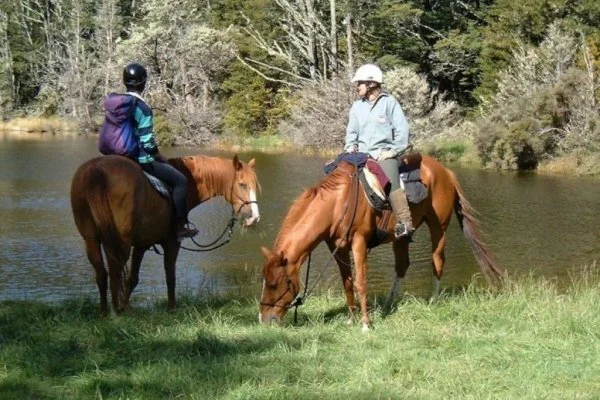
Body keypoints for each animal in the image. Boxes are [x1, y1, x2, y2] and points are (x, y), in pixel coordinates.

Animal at [69, 155, 258, 314]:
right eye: (242, 184)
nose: (254, 217)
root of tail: (96, 169)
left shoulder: (142, 245)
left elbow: (133, 279)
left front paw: (127, 305)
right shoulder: (172, 242)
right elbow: (170, 276)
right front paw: (171, 308)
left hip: (92, 239)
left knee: (102, 274)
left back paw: (105, 312)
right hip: (119, 242)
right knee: (115, 272)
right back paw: (116, 311)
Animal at [260, 155, 504, 332]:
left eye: (274, 284)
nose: (263, 319)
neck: (339, 203)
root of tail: (447, 172)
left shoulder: (359, 242)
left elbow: (361, 283)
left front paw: (366, 324)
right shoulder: (336, 248)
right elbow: (347, 282)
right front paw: (351, 319)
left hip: (438, 227)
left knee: (437, 261)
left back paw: (433, 300)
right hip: (401, 236)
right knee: (402, 265)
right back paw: (389, 303)